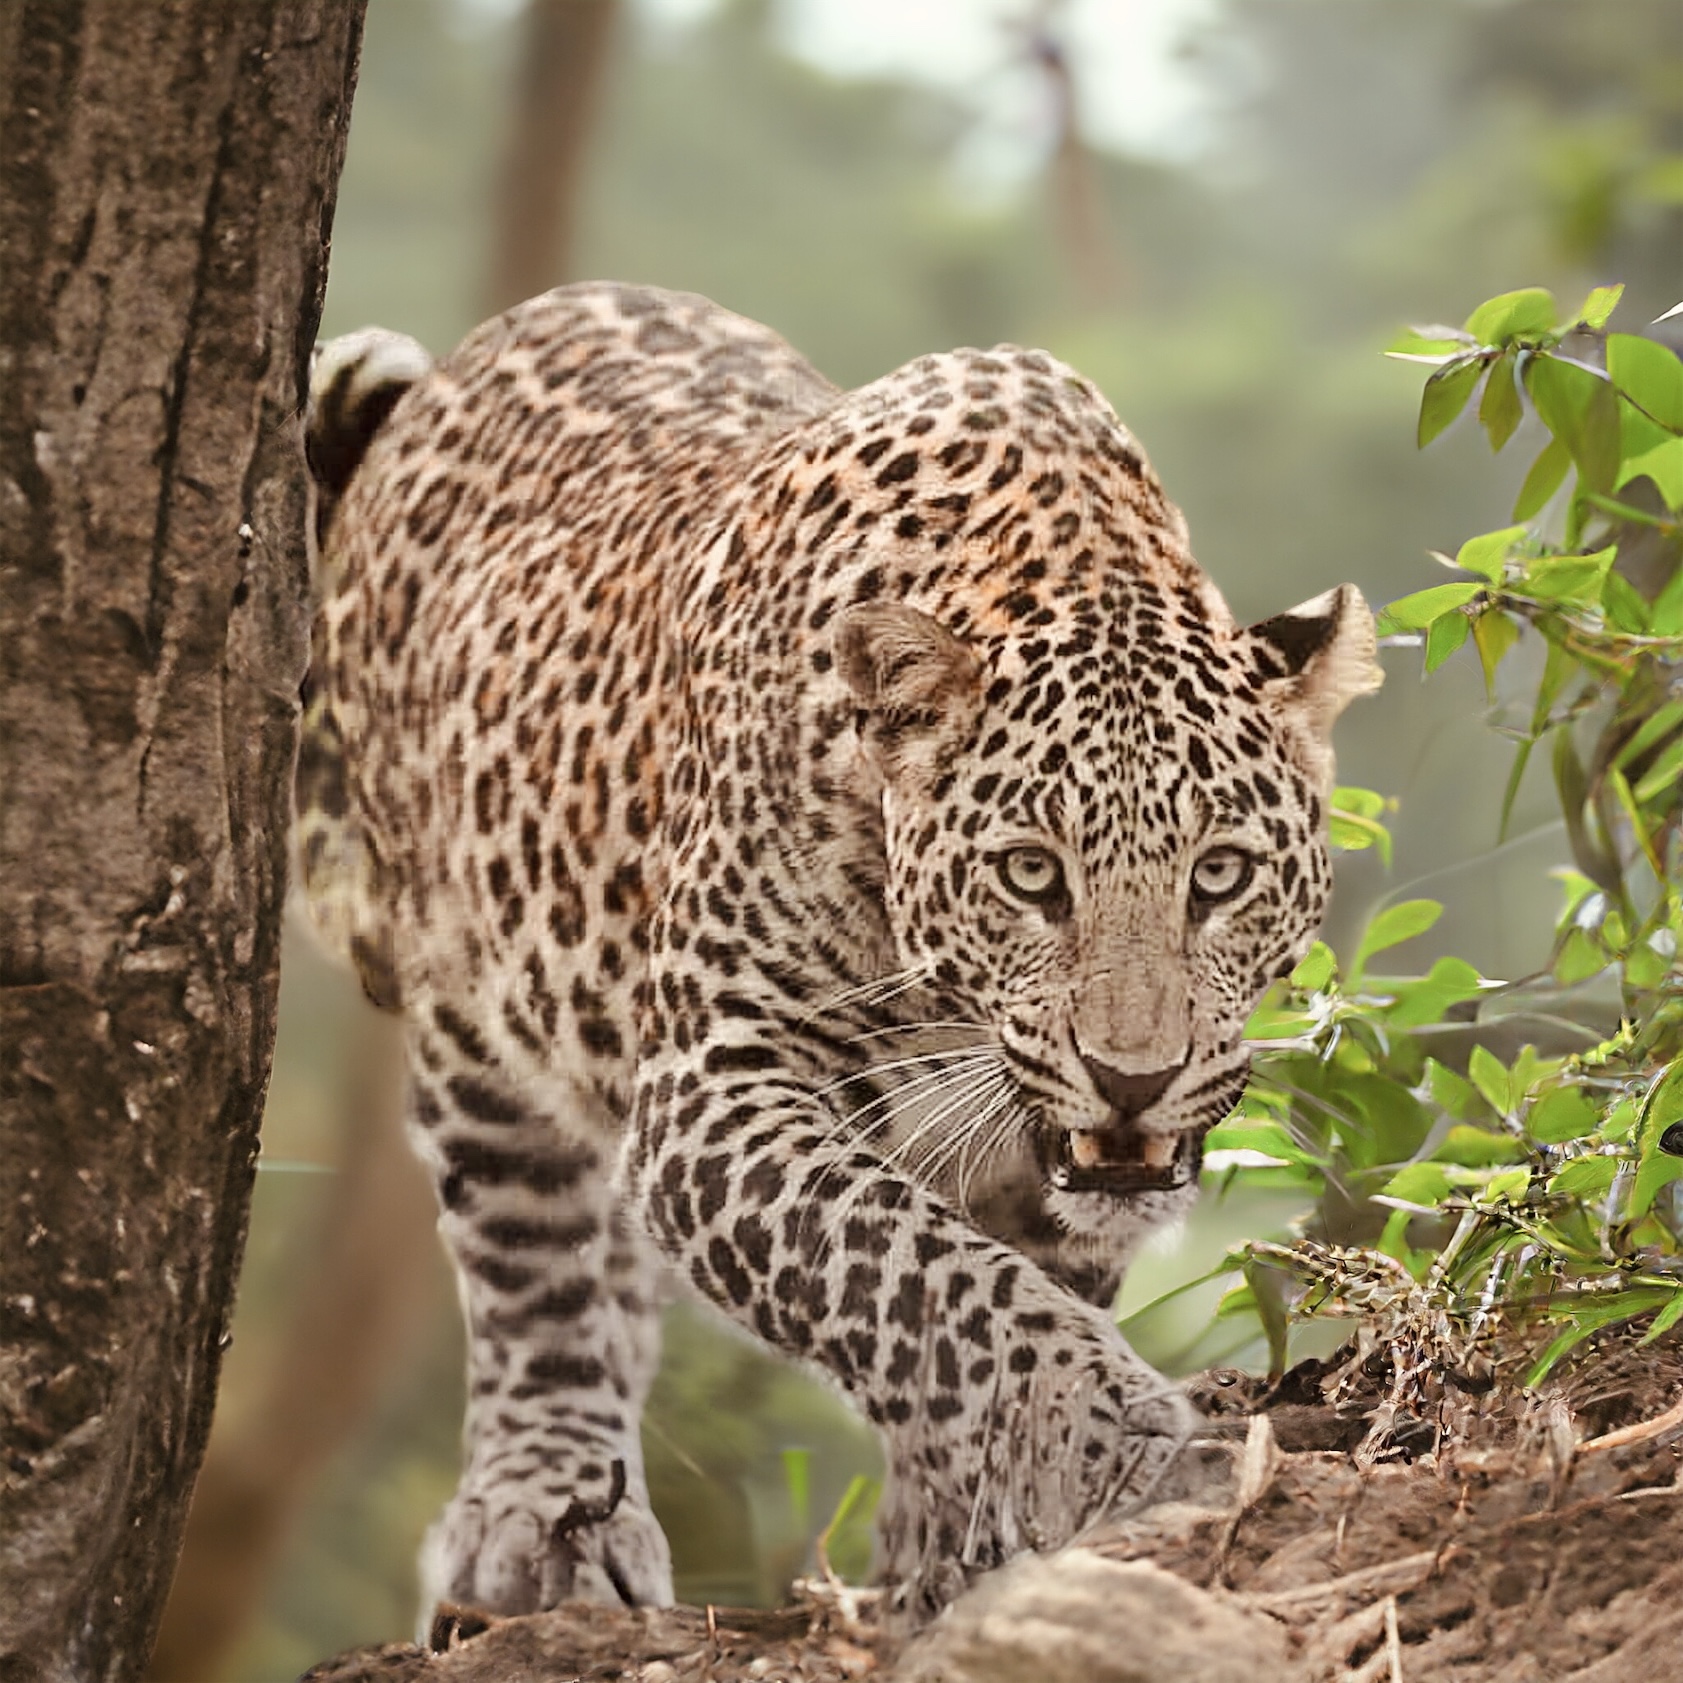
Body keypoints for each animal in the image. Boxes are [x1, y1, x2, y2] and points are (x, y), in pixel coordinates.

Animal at [296, 281, 1381, 1625]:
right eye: (1032, 874)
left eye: (1219, 874)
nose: (1133, 1079)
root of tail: (477, 352)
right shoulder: (719, 1082)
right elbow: (917, 1274)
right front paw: (1109, 1445)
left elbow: (990, 1298)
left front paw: (952, 1552)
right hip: (475, 1013)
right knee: (532, 1258)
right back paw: (544, 1512)